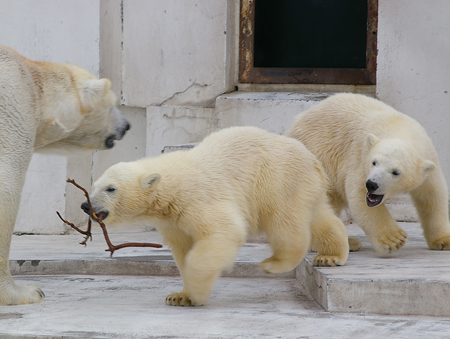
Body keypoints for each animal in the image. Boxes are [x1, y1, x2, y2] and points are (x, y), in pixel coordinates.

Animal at [82, 127, 350, 308]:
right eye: (94, 186)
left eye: (110, 188)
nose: (86, 205)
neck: (170, 185)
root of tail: (313, 159)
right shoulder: (172, 219)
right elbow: (182, 248)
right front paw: (180, 296)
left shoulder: (197, 197)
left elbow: (223, 231)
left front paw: (197, 294)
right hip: (304, 186)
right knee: (319, 217)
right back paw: (330, 255)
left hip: (276, 180)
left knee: (284, 222)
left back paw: (274, 263)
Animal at [286, 92, 450, 255]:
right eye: (374, 162)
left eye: (396, 172)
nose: (372, 184)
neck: (399, 129)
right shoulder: (360, 157)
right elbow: (358, 194)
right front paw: (394, 239)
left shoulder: (428, 160)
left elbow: (433, 196)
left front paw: (443, 241)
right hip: (318, 161)